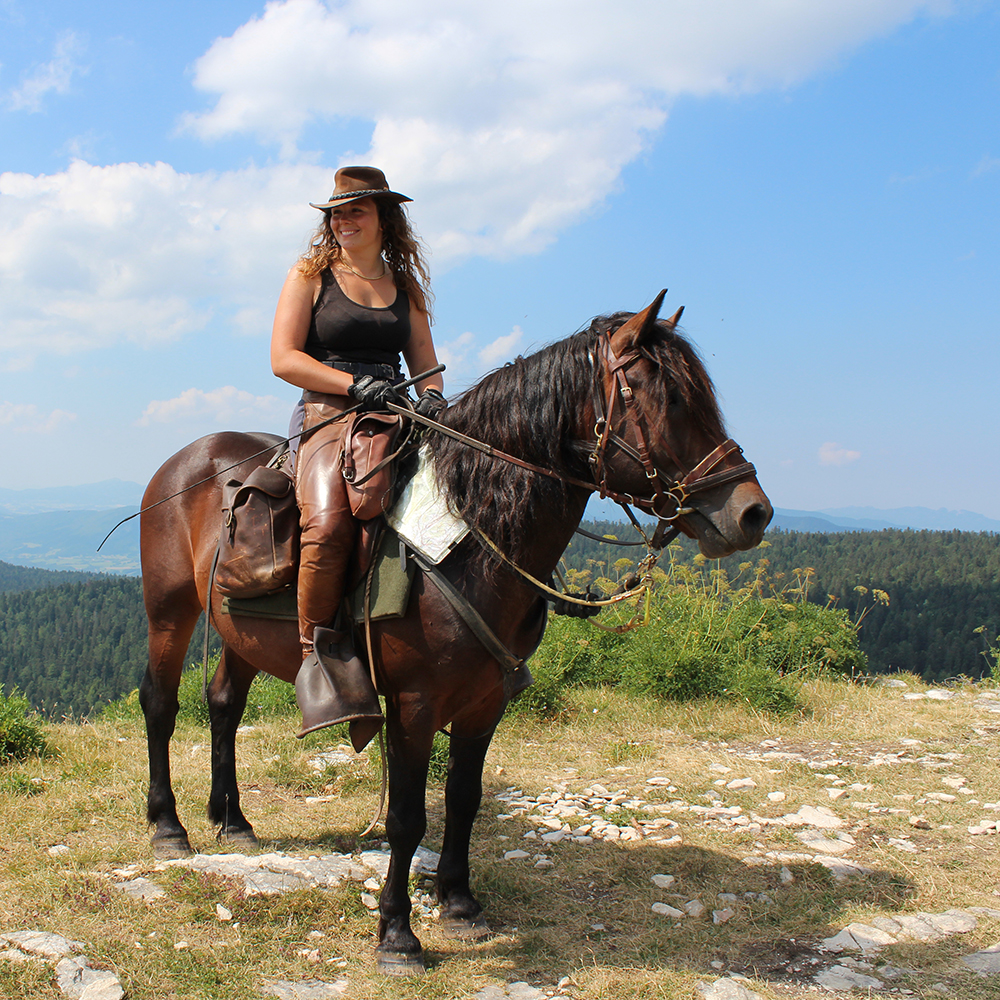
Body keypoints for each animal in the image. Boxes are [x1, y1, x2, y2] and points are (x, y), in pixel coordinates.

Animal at [137, 292, 768, 972]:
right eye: (669, 399)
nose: (752, 512)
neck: (471, 532)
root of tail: (186, 461)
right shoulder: (414, 705)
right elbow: (408, 819)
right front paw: (397, 934)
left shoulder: (485, 701)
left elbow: (464, 797)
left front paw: (460, 904)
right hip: (169, 613)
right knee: (161, 704)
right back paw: (169, 826)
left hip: (241, 632)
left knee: (224, 703)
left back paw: (232, 820)